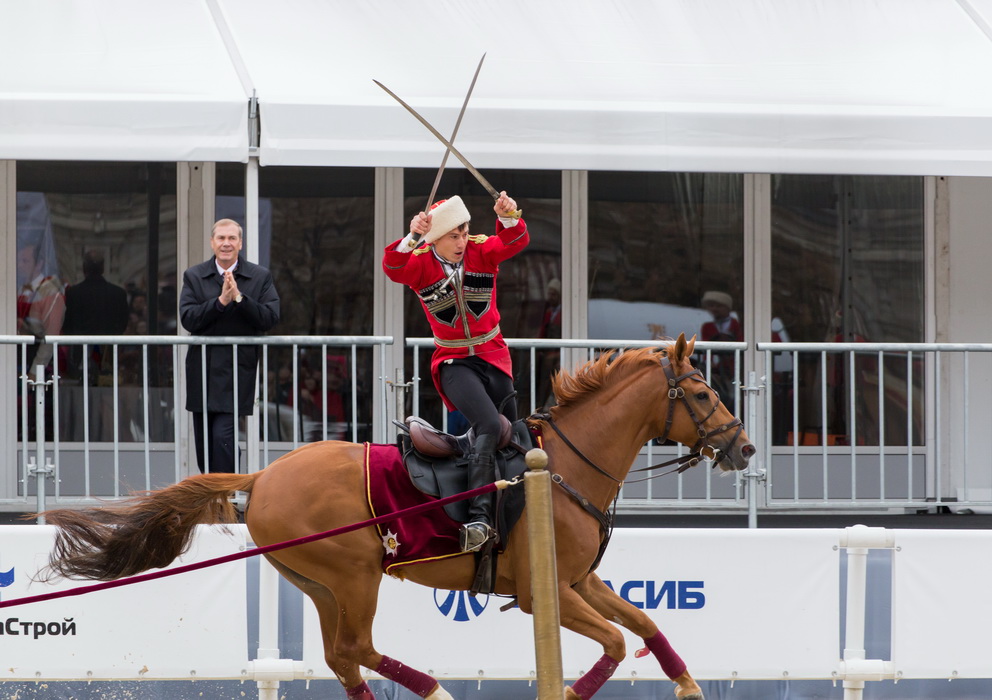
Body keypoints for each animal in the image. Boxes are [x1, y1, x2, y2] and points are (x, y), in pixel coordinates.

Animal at [38, 334, 752, 700]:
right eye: (700, 393)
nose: (743, 447)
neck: (563, 467)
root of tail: (263, 476)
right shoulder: (542, 592)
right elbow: (614, 642)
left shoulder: (580, 582)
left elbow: (644, 623)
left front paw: (688, 684)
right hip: (356, 575)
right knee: (356, 649)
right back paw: (433, 690)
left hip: (320, 583)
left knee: (342, 657)